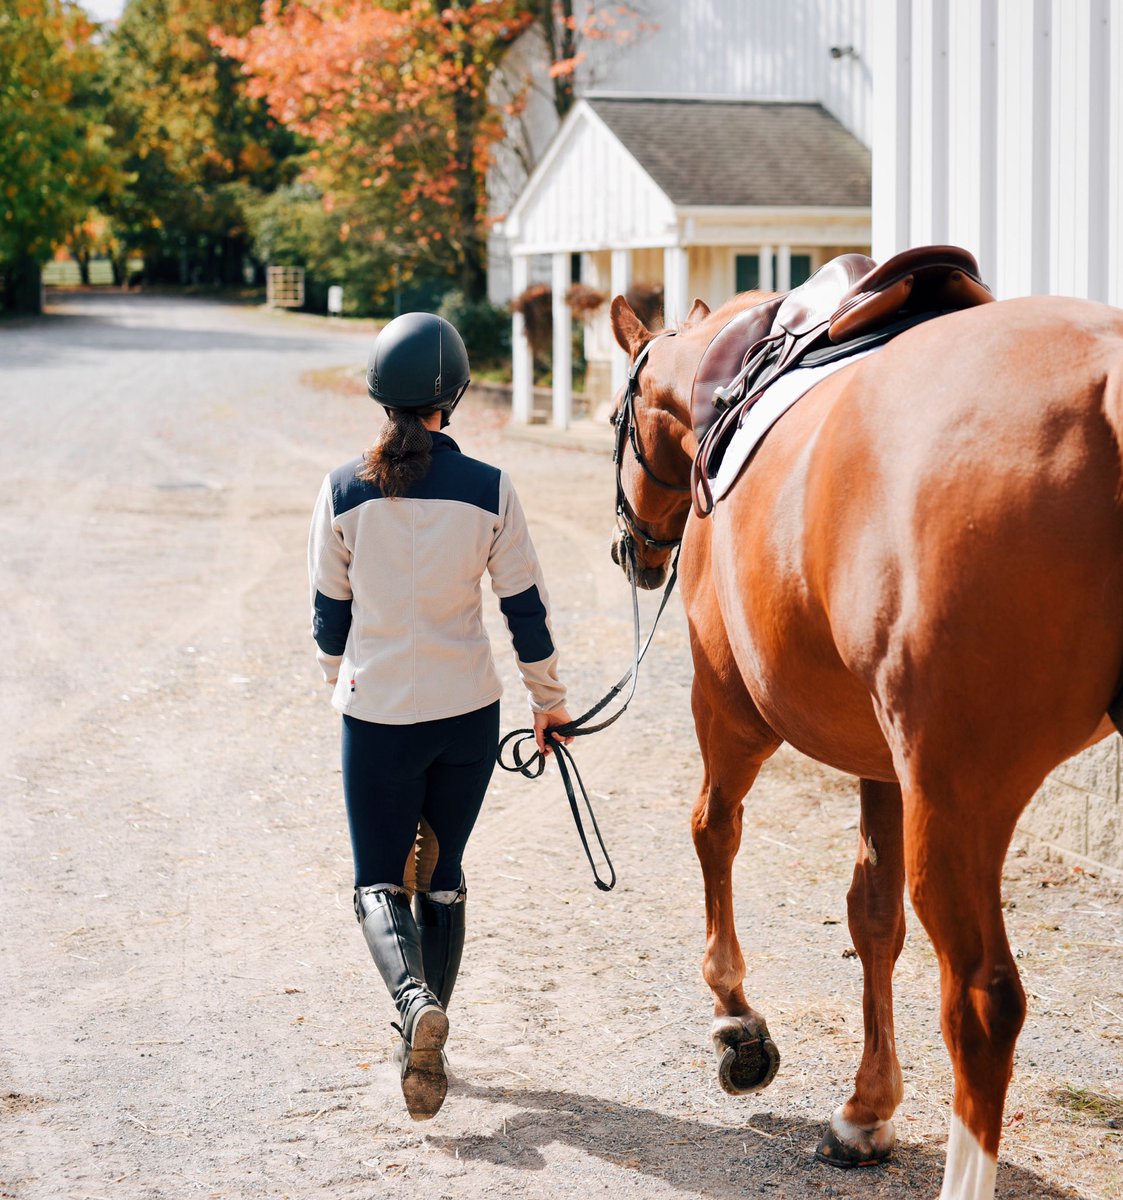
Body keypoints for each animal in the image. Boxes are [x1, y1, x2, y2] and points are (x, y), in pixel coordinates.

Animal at [607, 286, 1123, 1200]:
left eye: (616, 415)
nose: (630, 547)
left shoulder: (729, 710)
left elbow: (712, 832)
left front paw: (735, 1019)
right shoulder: (884, 764)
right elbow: (872, 916)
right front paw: (867, 1110)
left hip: (958, 798)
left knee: (983, 1001)